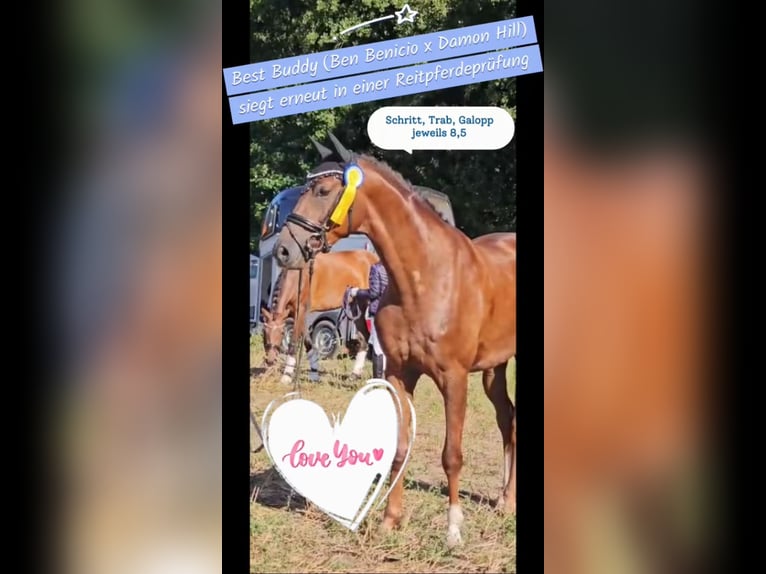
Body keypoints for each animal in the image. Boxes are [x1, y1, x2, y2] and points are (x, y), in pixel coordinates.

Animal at [261, 249, 379, 383]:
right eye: (264, 332)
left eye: (281, 333)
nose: (270, 360)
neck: (297, 277)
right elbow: (308, 343)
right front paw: (314, 374)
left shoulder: (300, 313)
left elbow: (294, 342)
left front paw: (286, 376)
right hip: (356, 307)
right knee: (364, 337)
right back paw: (354, 375)